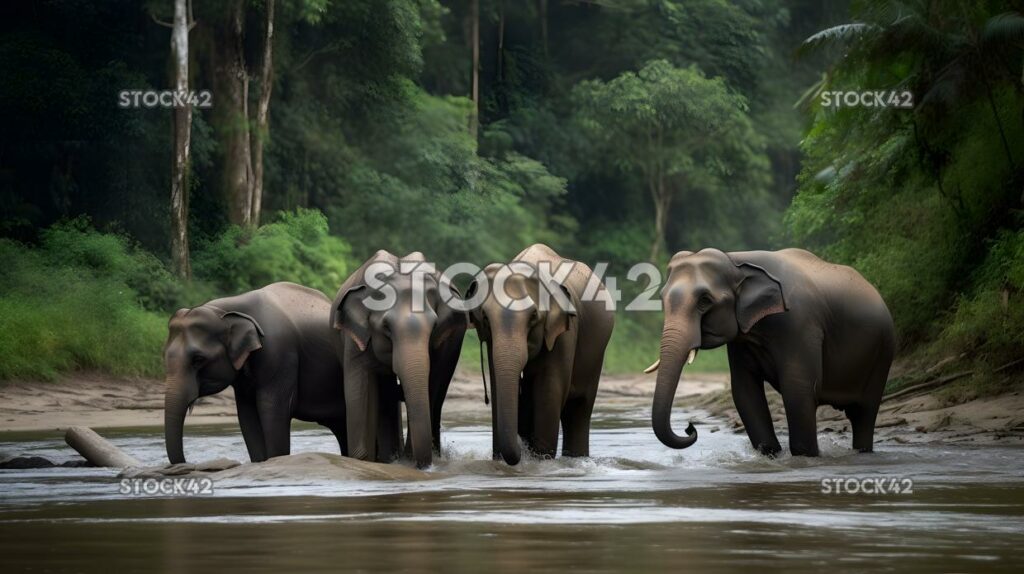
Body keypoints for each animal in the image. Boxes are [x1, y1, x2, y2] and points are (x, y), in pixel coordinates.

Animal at [163, 282, 346, 466]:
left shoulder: (280, 354)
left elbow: (272, 410)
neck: (224, 311)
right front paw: (259, 462)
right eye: (165, 356)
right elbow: (247, 415)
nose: (187, 463)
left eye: (198, 359)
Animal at [331, 249, 468, 466]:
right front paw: (364, 461)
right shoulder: (355, 340)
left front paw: (409, 458)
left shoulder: (444, 344)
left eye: (434, 327)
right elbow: (359, 389)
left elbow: (431, 383)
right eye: (386, 327)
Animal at [468, 242, 610, 466]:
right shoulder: (492, 343)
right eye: (485, 317)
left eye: (533, 316)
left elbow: (549, 389)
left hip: (596, 355)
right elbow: (499, 386)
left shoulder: (565, 334)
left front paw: (541, 461)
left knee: (579, 410)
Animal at [647, 248, 897, 454]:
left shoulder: (800, 325)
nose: (690, 427)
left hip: (883, 351)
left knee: (865, 412)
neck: (737, 260)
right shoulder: (742, 338)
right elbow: (745, 391)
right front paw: (769, 453)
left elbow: (799, 389)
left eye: (704, 301)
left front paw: (805, 456)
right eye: (662, 299)